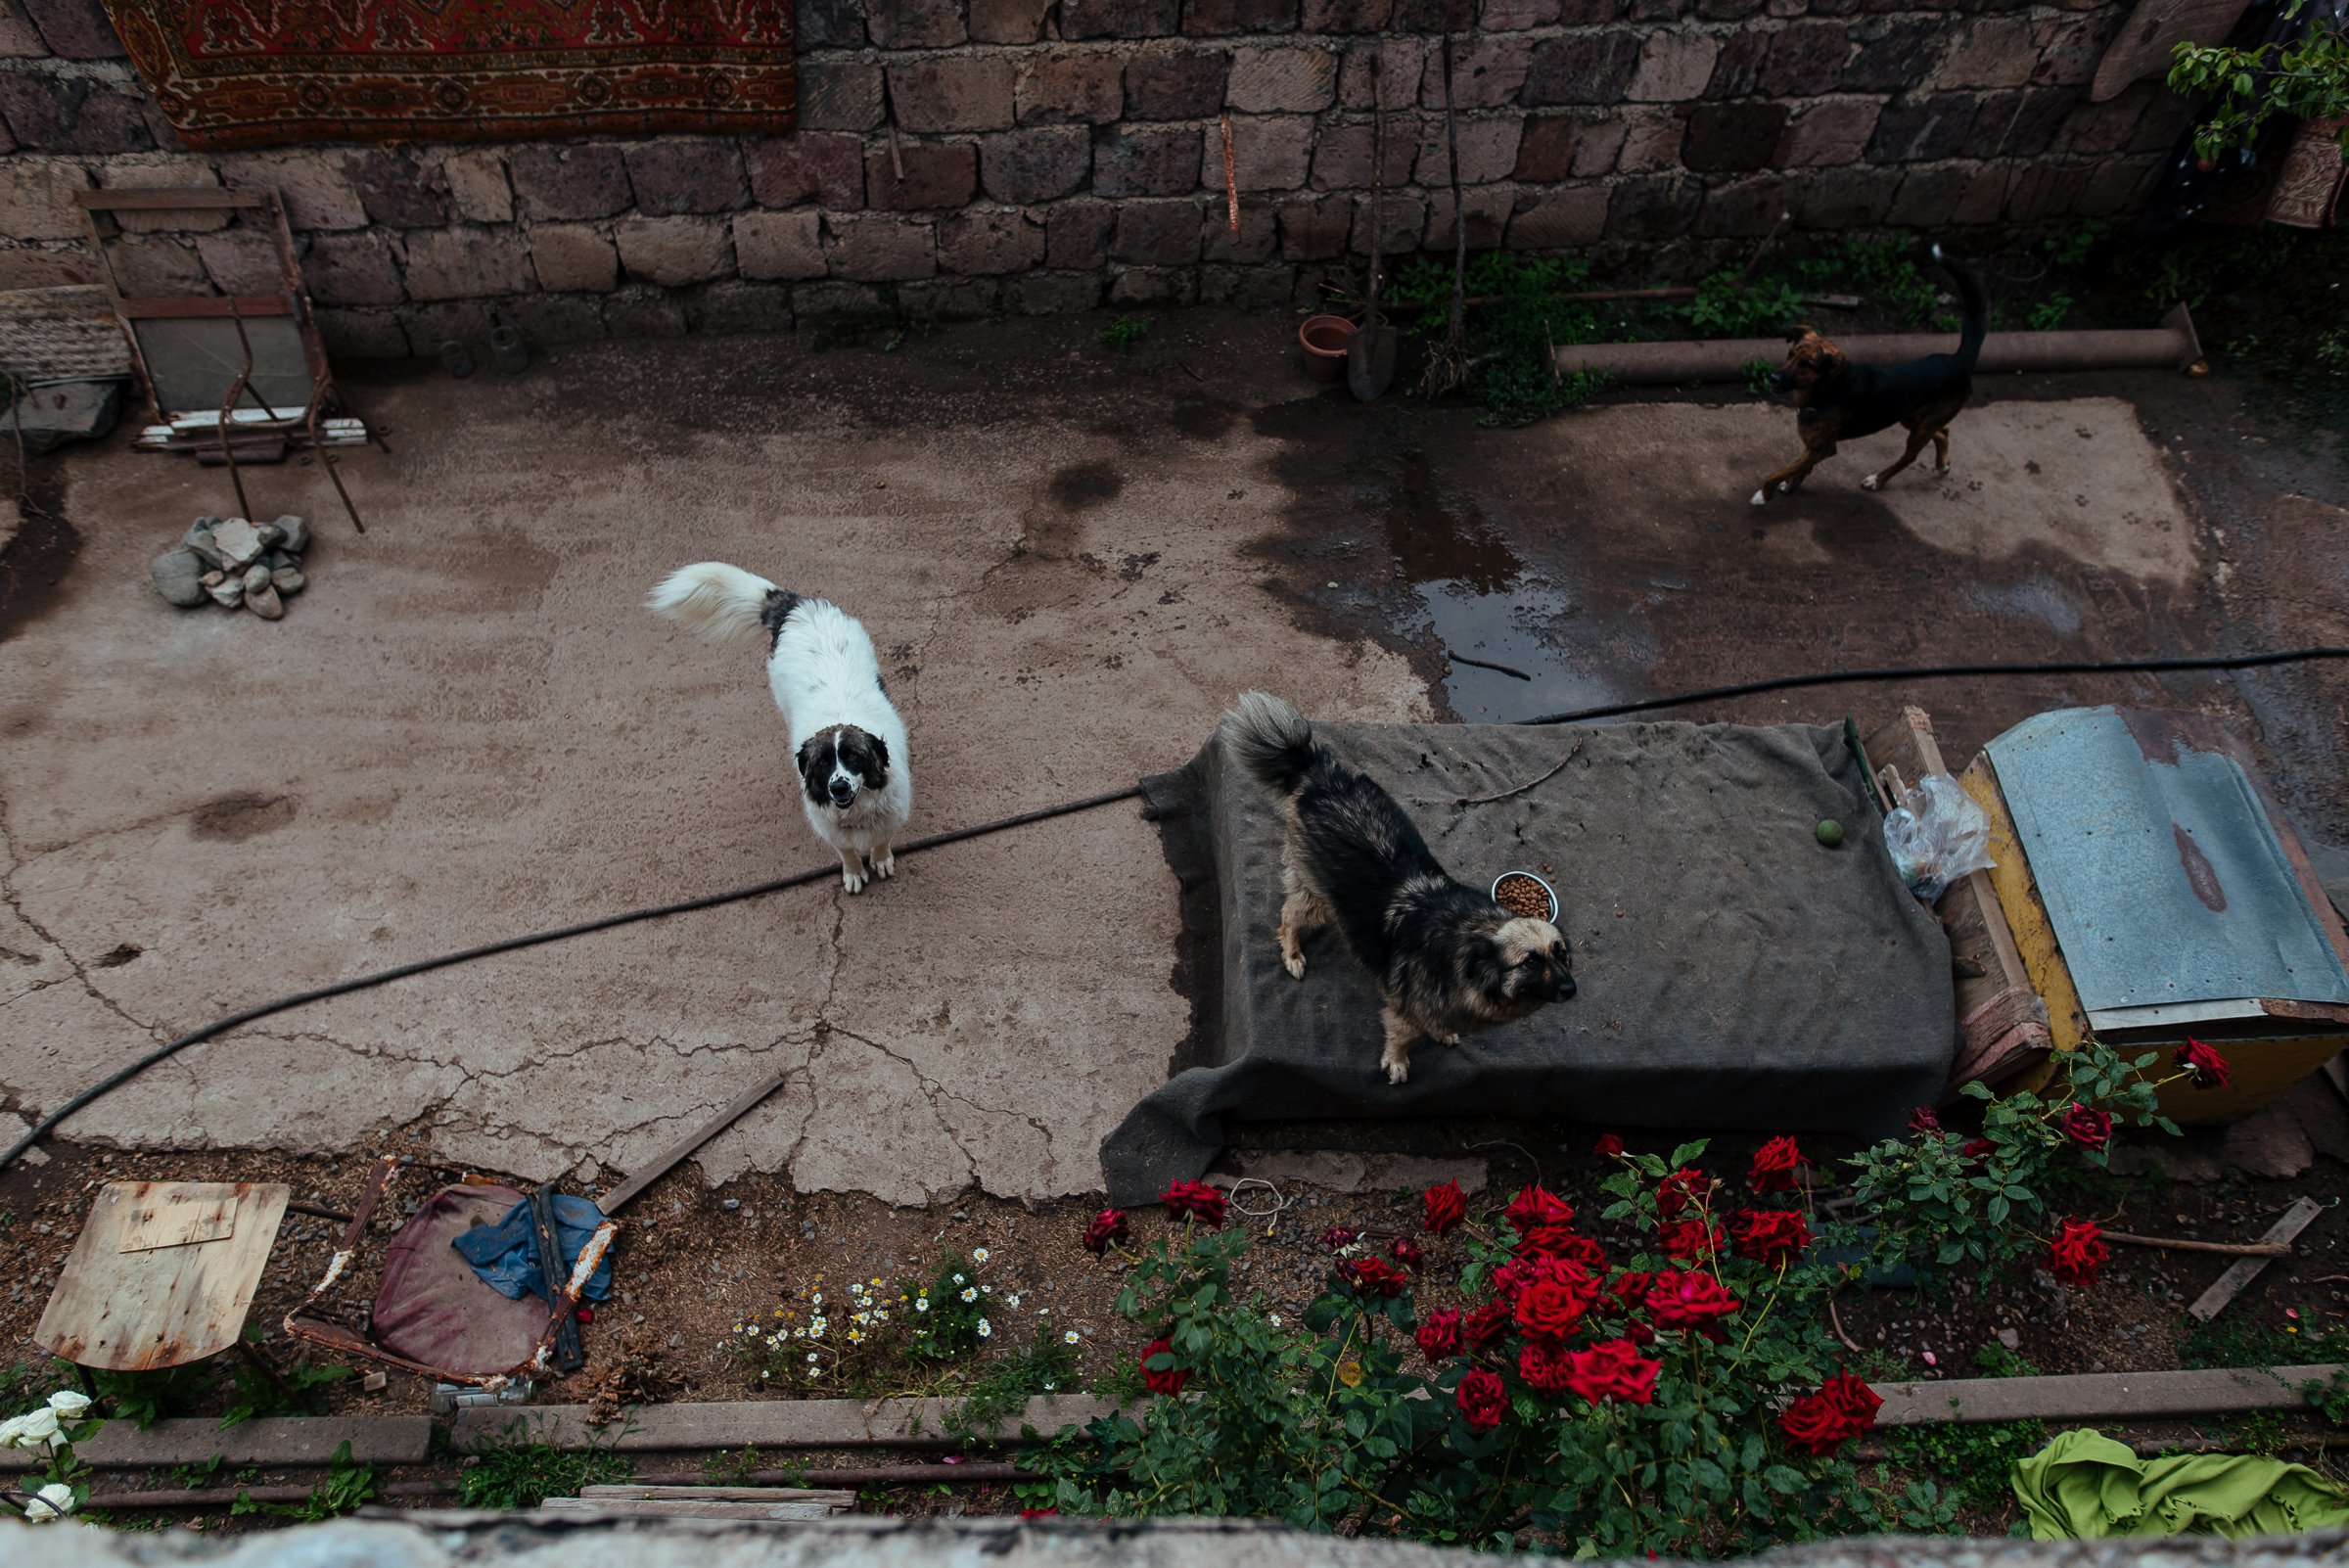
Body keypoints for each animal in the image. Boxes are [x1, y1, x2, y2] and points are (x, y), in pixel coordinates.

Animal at [648, 563, 911, 887]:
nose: (838, 787)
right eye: (823, 762)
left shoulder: (891, 815)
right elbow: (847, 851)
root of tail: (800, 607)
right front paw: (853, 872)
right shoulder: (832, 831)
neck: (856, 810)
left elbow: (881, 841)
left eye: (853, 756)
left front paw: (881, 859)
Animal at [1757, 243, 1992, 509]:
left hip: (1921, 427)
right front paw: (1790, 485)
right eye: (1790, 353)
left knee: (1909, 457)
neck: (1827, 390)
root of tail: (1960, 359)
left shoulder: (1823, 448)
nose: (1774, 378)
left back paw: (1878, 480)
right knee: (1943, 432)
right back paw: (1942, 464)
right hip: (1912, 418)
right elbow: (1798, 468)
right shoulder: (1815, 447)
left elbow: (1780, 471)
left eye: (1807, 364)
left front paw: (1764, 494)